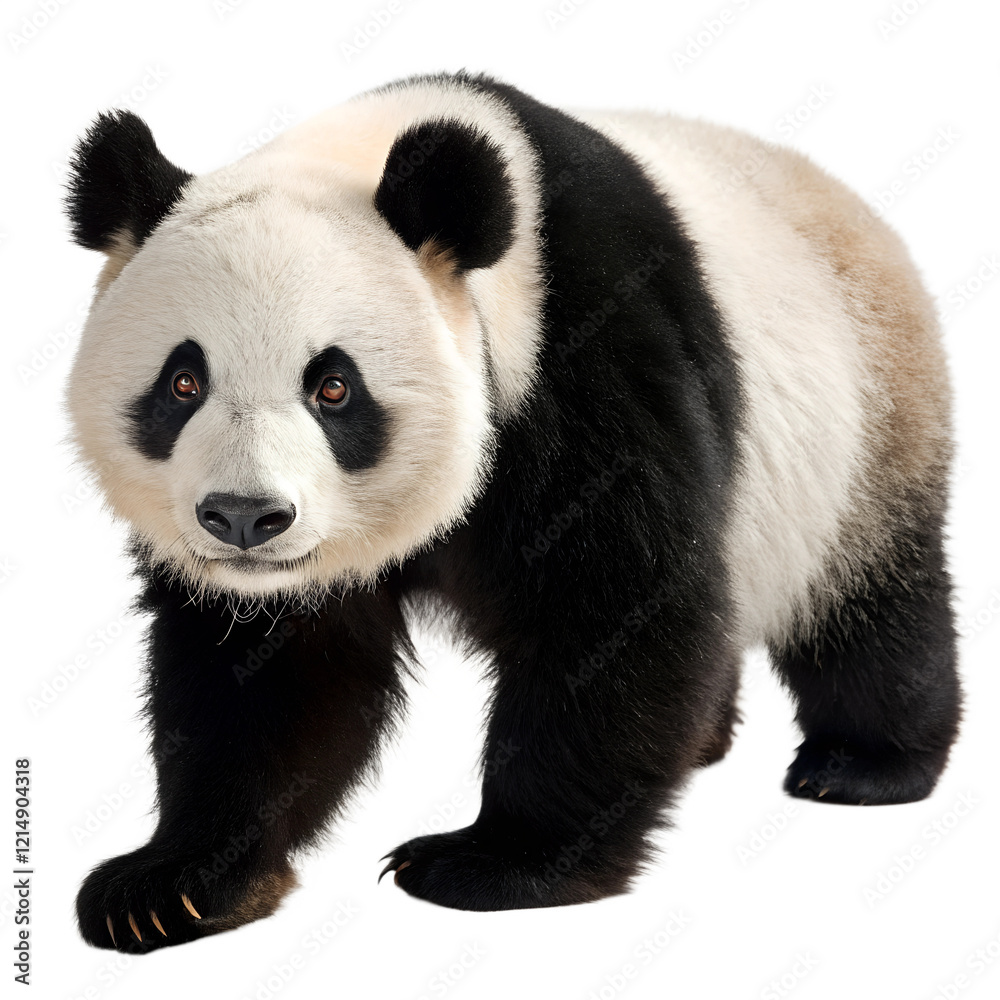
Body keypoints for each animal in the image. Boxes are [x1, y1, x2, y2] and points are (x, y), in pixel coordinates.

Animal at [65, 72, 960, 952]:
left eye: (334, 387)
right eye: (184, 382)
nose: (246, 517)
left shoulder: (587, 363)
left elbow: (611, 611)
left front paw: (497, 863)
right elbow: (262, 671)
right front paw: (172, 884)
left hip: (865, 428)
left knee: (871, 607)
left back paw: (861, 763)